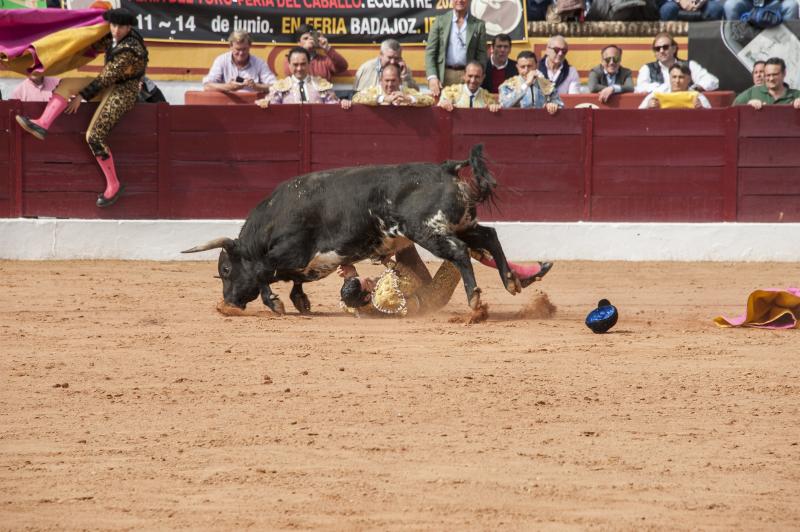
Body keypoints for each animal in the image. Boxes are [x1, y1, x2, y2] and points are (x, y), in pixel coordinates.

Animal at [182, 143, 520, 314]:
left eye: (226, 269)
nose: (227, 304)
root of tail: (445, 168)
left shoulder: (291, 253)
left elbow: (264, 272)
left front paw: (276, 303)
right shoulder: (309, 263)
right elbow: (292, 280)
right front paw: (300, 302)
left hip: (428, 230)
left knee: (461, 252)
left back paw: (475, 300)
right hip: (460, 223)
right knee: (489, 235)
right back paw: (511, 281)